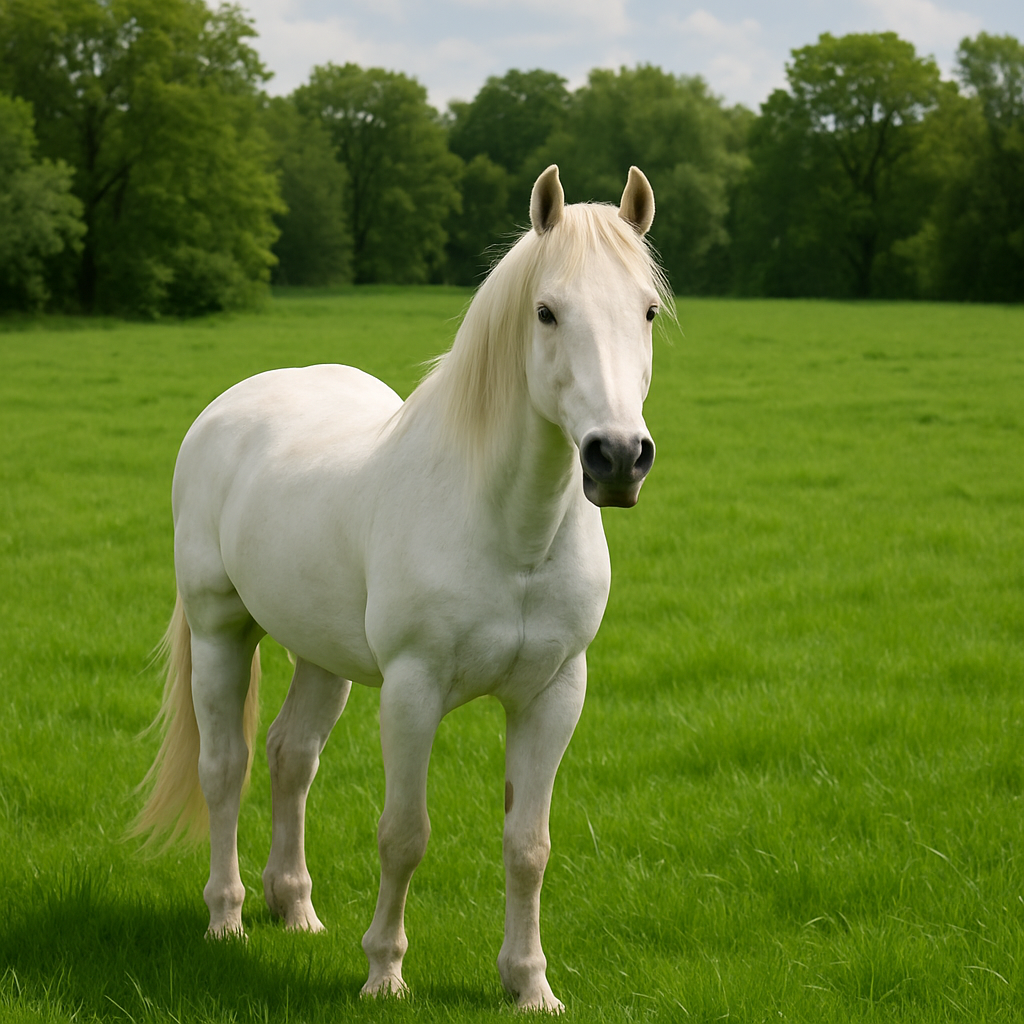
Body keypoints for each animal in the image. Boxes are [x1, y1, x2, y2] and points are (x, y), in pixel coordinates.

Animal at [131, 164, 669, 1012]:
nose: (617, 457)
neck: (511, 532)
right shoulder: (413, 691)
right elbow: (404, 834)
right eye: (547, 312)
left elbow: (528, 845)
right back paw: (228, 919)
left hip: (323, 658)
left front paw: (529, 985)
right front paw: (385, 973)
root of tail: (229, 408)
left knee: (291, 756)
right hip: (222, 633)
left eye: (646, 310)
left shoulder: (554, 693)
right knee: (226, 767)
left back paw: (296, 907)